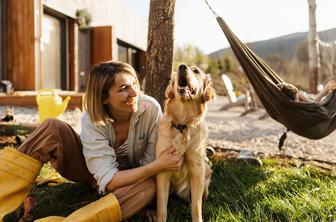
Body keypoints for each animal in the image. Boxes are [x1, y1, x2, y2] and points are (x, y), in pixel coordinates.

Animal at [157, 63, 217, 221]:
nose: (182, 66)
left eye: (196, 71)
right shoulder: (163, 169)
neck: (182, 124)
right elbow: (161, 207)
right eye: (180, 68)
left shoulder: (197, 169)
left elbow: (196, 206)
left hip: (206, 169)